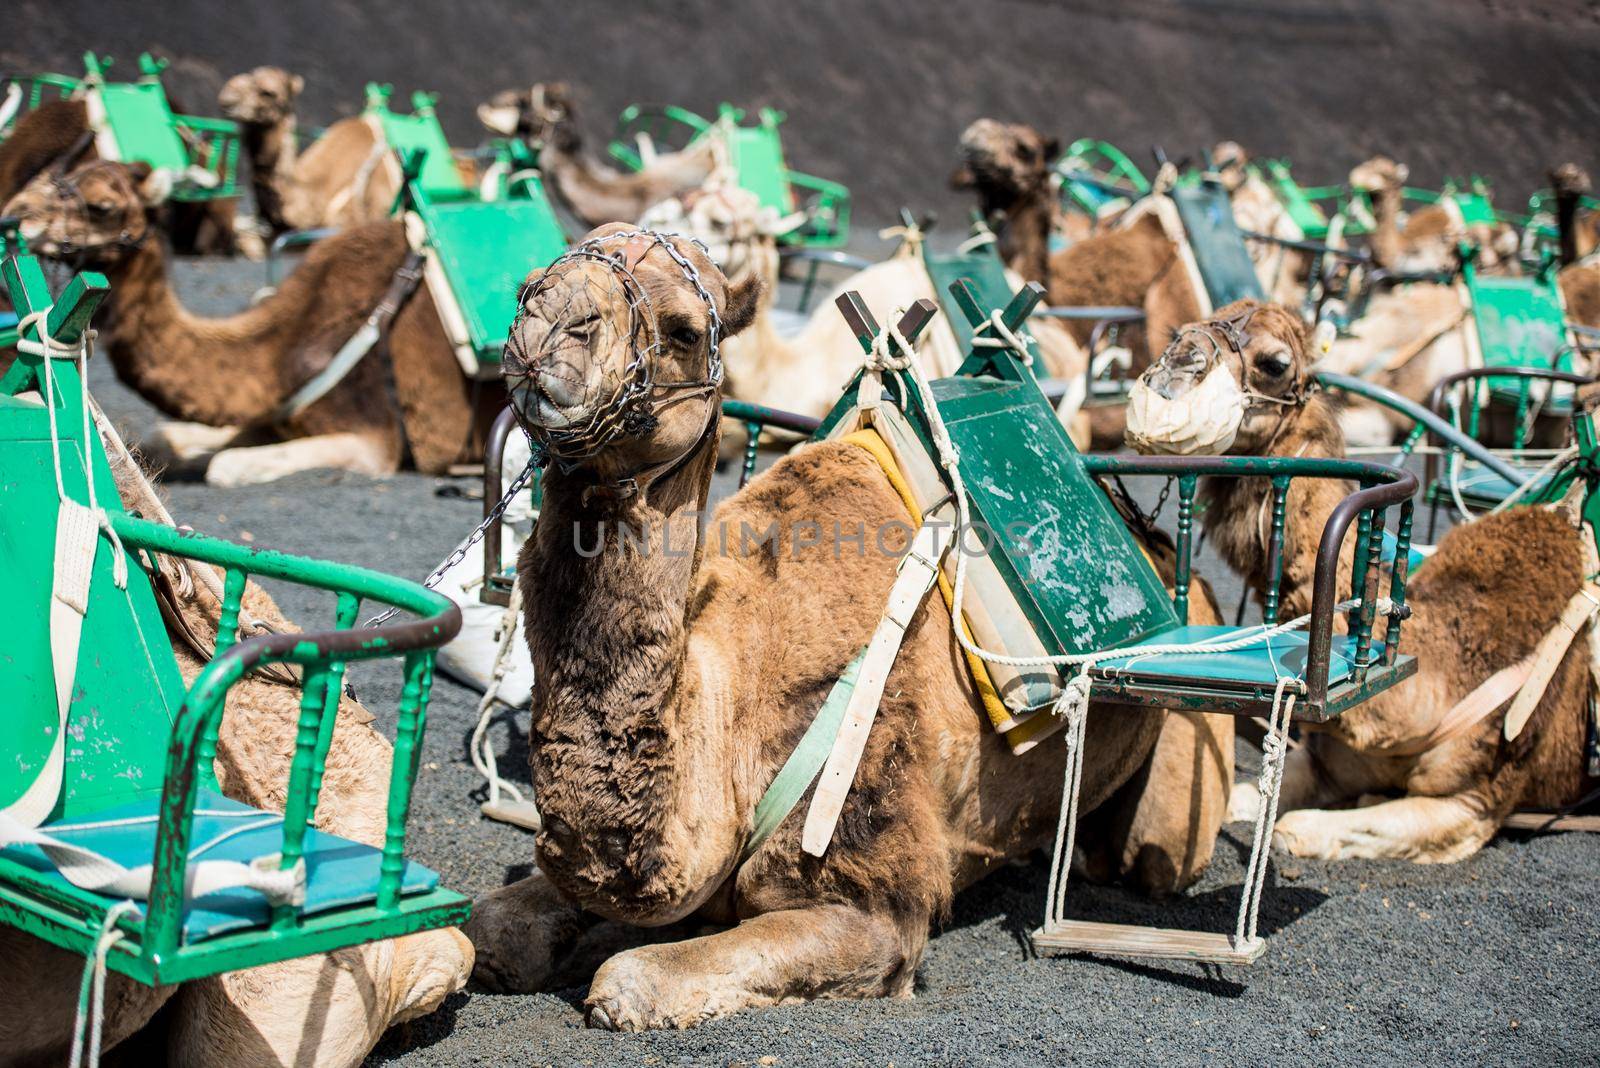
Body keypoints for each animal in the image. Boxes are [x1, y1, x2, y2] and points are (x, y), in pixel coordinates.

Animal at [4, 156, 492, 486]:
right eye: (68, 174)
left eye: (102, 205)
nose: (15, 214)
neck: (287, 348)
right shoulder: (275, 414)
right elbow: (171, 439)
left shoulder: (375, 438)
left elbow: (223, 466)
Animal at [464, 223, 1235, 1023]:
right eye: (530, 281)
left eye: (682, 328)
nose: (548, 322)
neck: (729, 700)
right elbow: (490, 928)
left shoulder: (871, 903)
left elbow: (629, 981)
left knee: (1153, 855)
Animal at [1132, 298, 1593, 856]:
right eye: (1178, 331)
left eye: (1275, 363)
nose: (1176, 365)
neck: (1439, 680)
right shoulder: (1329, 760)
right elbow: (1246, 797)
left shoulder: (1474, 804)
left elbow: (1299, 827)